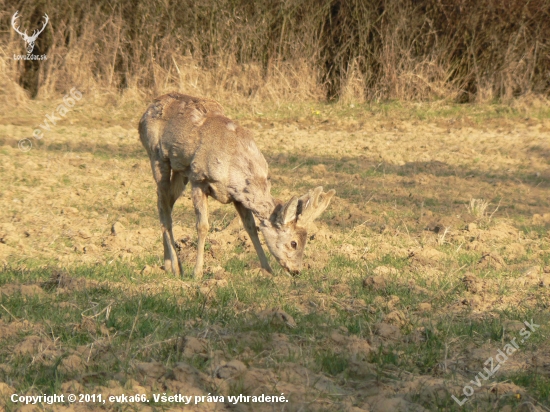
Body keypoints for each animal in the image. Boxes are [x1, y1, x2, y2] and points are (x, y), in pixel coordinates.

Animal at [139, 93, 336, 278]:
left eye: (306, 241)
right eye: (293, 243)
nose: (297, 270)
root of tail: (145, 112)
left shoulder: (238, 196)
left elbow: (251, 228)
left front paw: (268, 271)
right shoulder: (198, 178)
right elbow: (203, 226)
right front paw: (197, 272)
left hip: (180, 171)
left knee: (166, 203)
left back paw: (168, 264)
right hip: (157, 155)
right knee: (163, 206)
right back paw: (175, 267)